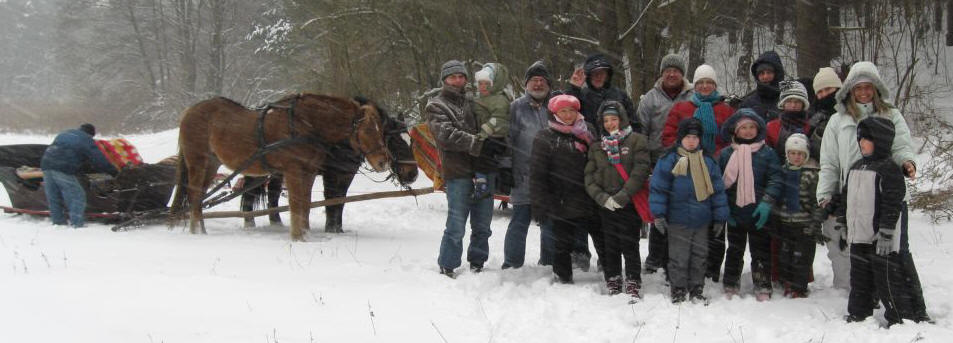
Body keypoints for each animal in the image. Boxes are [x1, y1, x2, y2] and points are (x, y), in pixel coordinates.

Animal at [171, 92, 390, 241]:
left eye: (382, 128)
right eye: (367, 129)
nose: (383, 161)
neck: (305, 123)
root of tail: (189, 112)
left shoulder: (309, 172)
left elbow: (306, 205)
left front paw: (305, 234)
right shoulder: (293, 170)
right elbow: (296, 204)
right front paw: (298, 237)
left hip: (212, 163)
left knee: (199, 197)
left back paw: (201, 229)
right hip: (198, 161)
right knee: (194, 194)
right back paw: (197, 232)